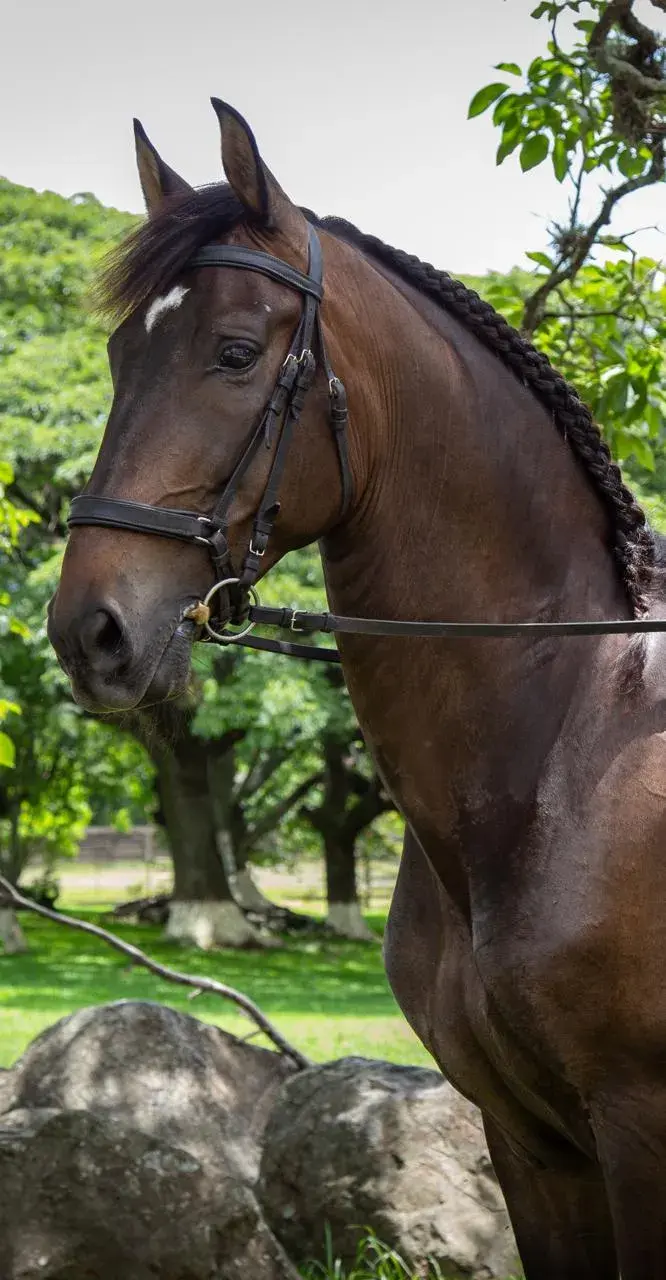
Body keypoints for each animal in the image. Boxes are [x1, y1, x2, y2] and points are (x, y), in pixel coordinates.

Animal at [47, 100, 666, 1278]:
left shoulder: (638, 1132)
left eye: (236, 354)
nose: (88, 632)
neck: (568, 739)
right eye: (116, 352)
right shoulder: (532, 1147)